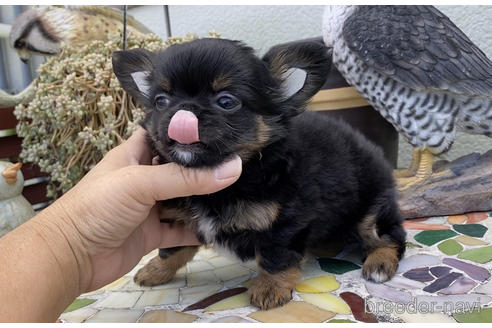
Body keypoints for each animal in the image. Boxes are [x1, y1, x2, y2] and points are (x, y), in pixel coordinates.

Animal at [112, 38, 408, 310]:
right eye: (161, 101)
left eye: (226, 101)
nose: (182, 112)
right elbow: (171, 249)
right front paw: (155, 270)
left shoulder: (284, 223)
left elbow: (274, 256)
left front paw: (269, 288)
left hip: (372, 209)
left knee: (390, 236)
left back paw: (379, 263)